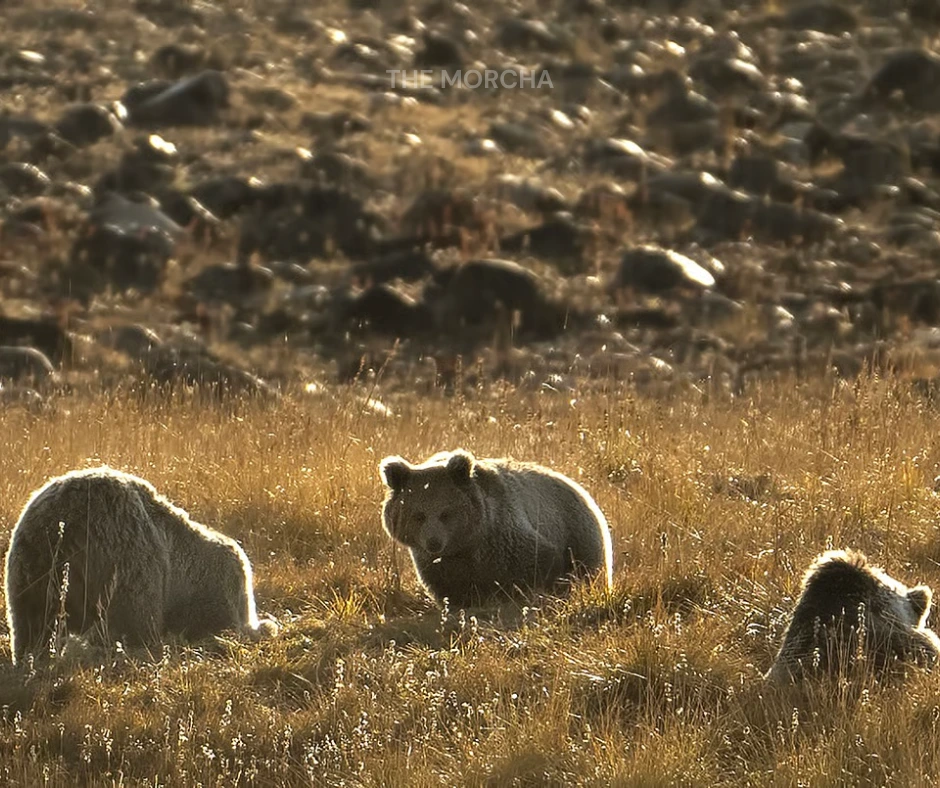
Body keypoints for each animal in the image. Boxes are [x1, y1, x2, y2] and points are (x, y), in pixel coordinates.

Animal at [378, 449, 613, 607]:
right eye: (419, 515)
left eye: (446, 513)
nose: (434, 542)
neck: (466, 545)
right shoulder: (440, 566)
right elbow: (451, 590)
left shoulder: (505, 535)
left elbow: (539, 563)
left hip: (577, 533)